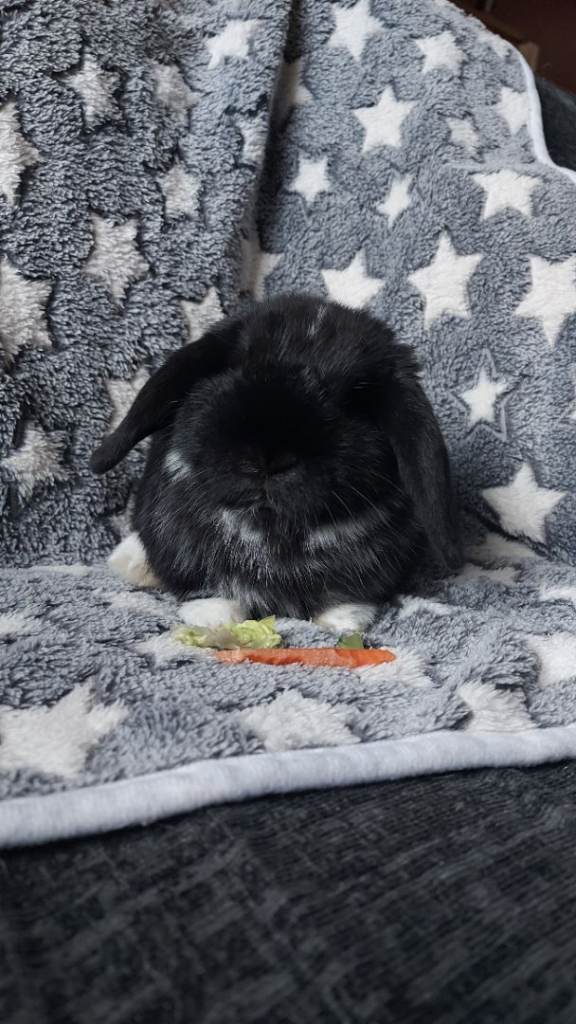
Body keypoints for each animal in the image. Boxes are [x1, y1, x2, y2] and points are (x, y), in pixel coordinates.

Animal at [91, 294, 461, 633]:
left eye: (352, 400)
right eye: (235, 368)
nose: (267, 459)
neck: (271, 529)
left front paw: (343, 621)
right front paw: (214, 619)